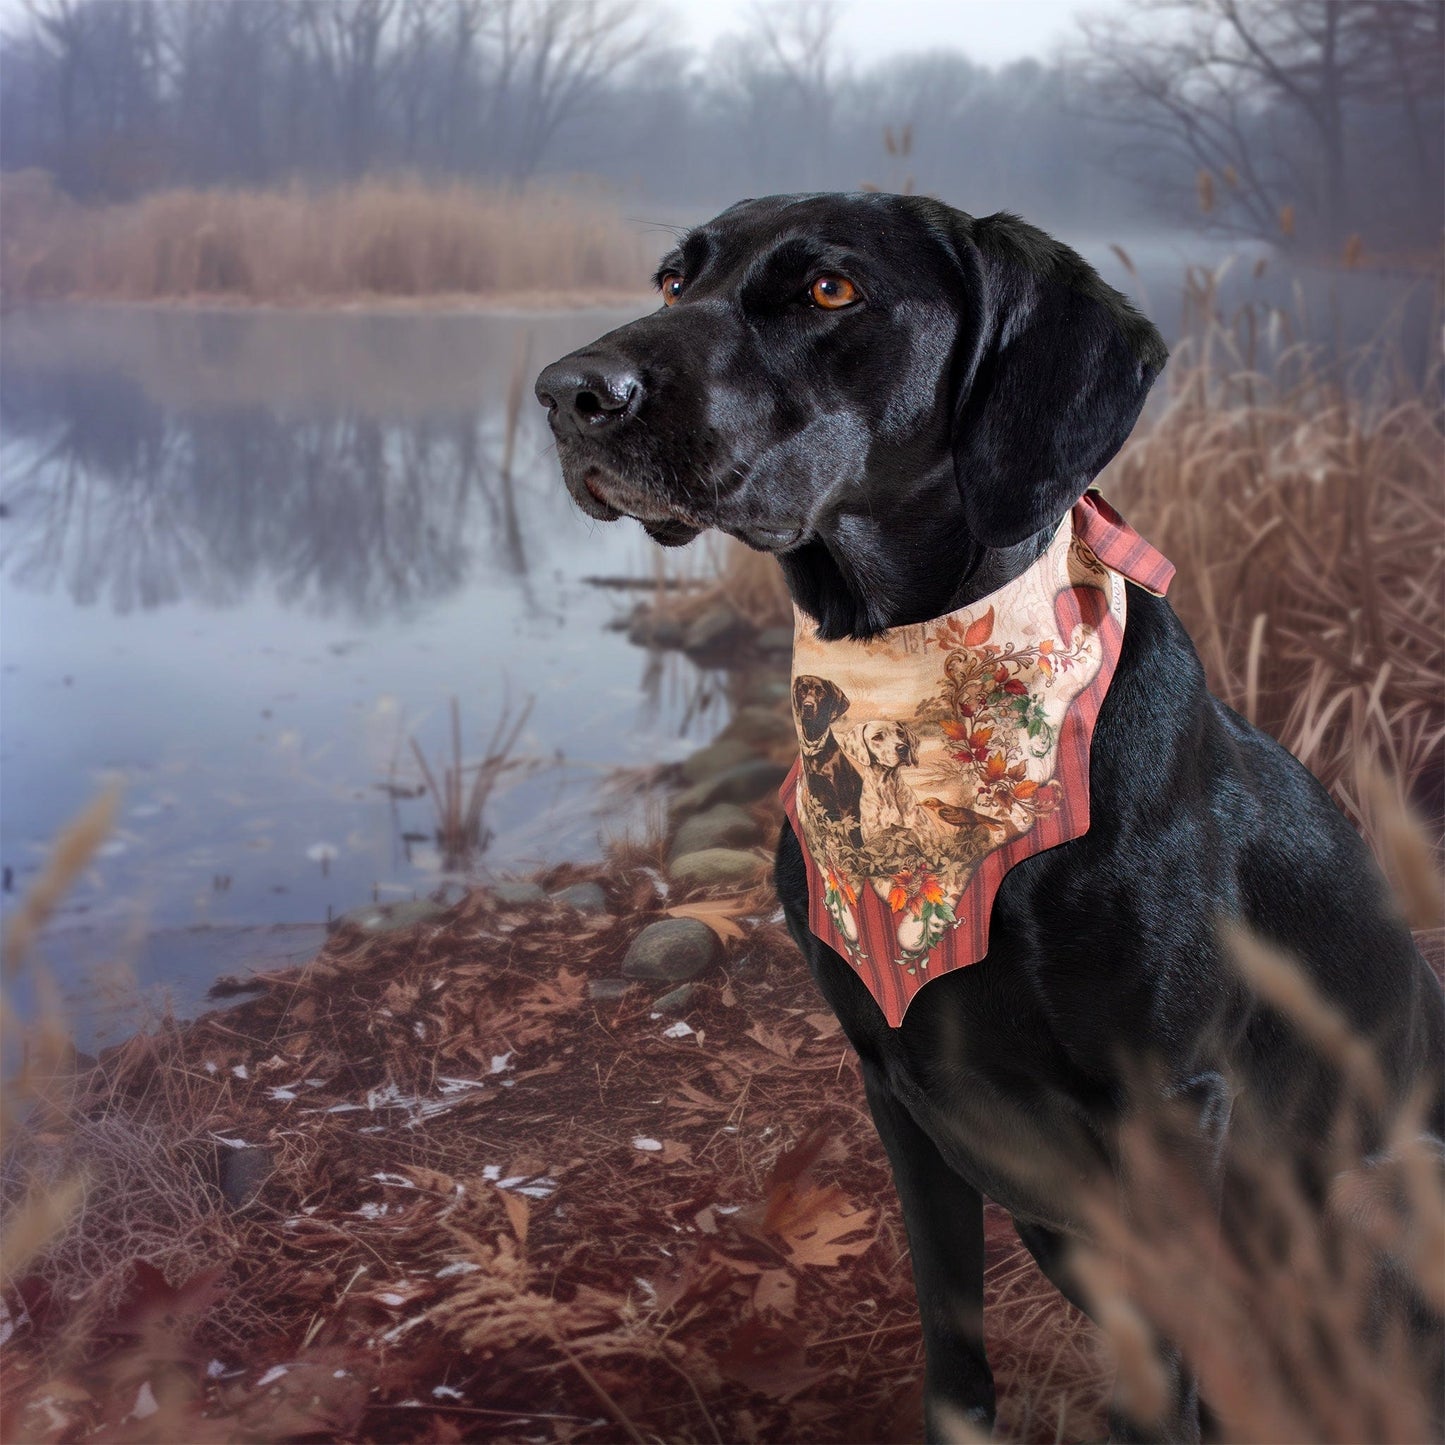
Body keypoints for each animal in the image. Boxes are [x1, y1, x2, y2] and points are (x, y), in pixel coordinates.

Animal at [540, 195, 1445, 1445]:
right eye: (675, 280)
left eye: (829, 290)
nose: (566, 390)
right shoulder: (903, 1087)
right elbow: (950, 1325)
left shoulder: (1168, 1106)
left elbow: (1177, 1368)